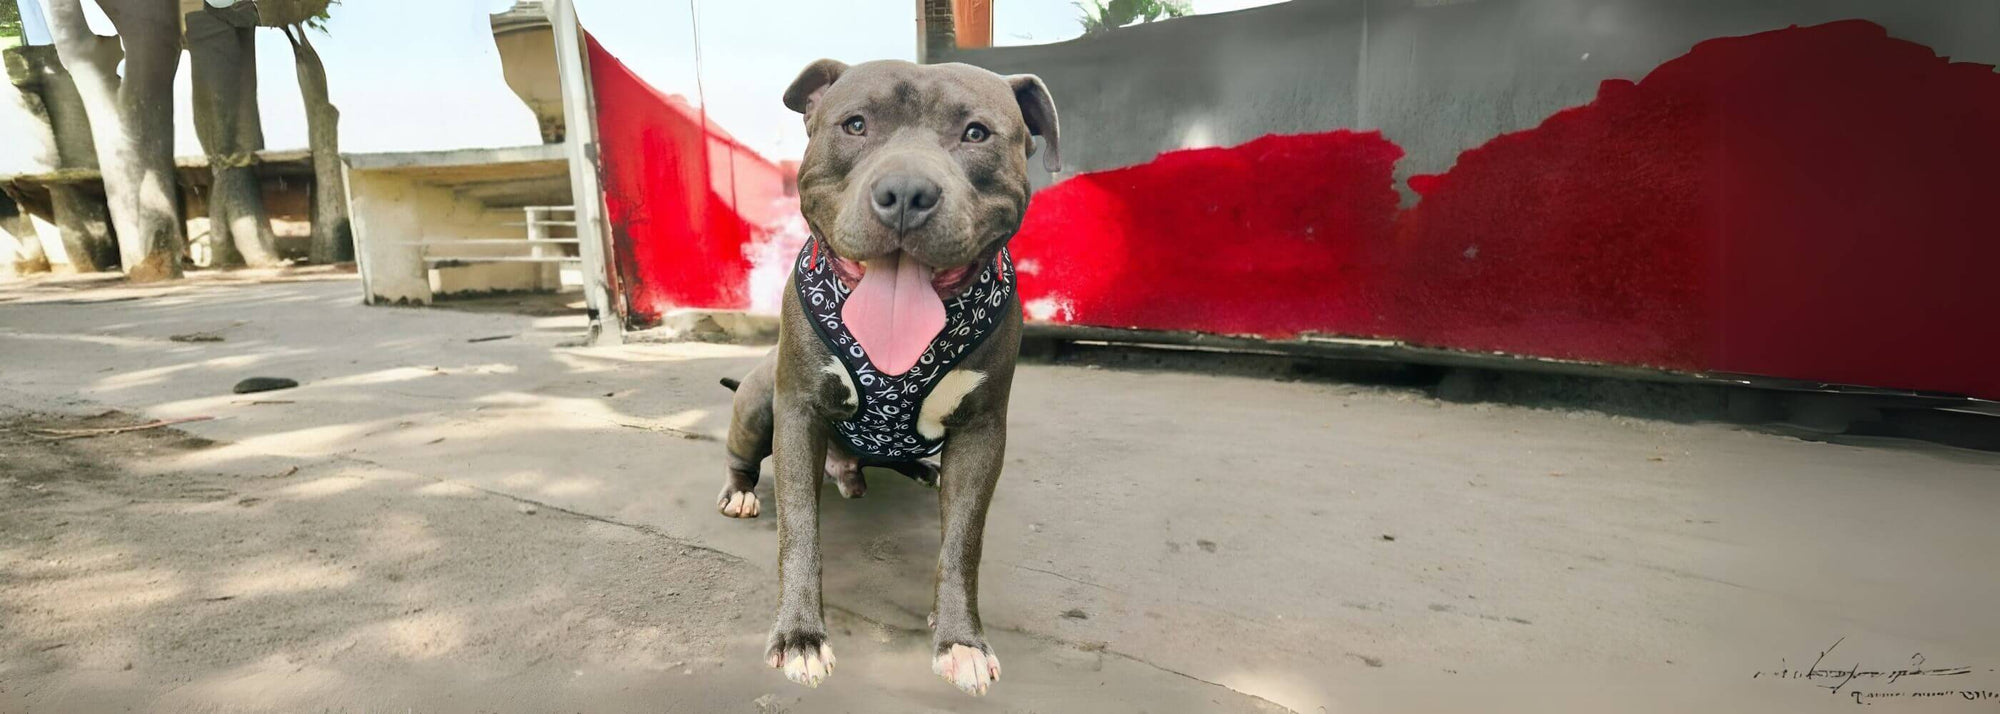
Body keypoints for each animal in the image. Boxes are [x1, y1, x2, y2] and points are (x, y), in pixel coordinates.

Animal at [720, 61, 1064, 696]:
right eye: (856, 124)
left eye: (976, 133)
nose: (906, 192)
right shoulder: (798, 411)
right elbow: (799, 531)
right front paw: (801, 635)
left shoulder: (982, 431)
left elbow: (962, 542)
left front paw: (960, 640)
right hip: (758, 401)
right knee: (743, 454)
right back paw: (742, 491)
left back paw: (911, 470)